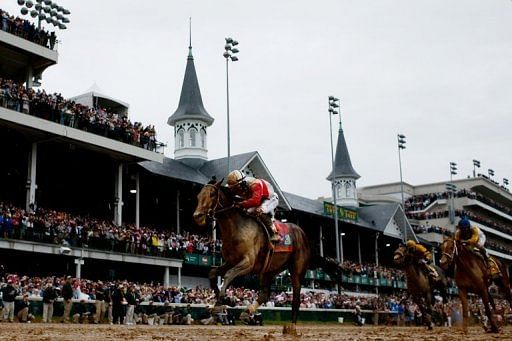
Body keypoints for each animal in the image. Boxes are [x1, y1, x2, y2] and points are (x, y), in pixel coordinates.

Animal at [194, 179, 310, 334]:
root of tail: (302, 233)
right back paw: (247, 312)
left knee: (296, 299)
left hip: (297, 270)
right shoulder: (231, 261)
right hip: (269, 270)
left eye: (212, 194)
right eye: (198, 196)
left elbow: (229, 275)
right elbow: (212, 273)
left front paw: (220, 302)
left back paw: (291, 327)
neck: (236, 227)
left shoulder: (248, 263)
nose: (197, 216)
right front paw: (228, 300)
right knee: (264, 294)